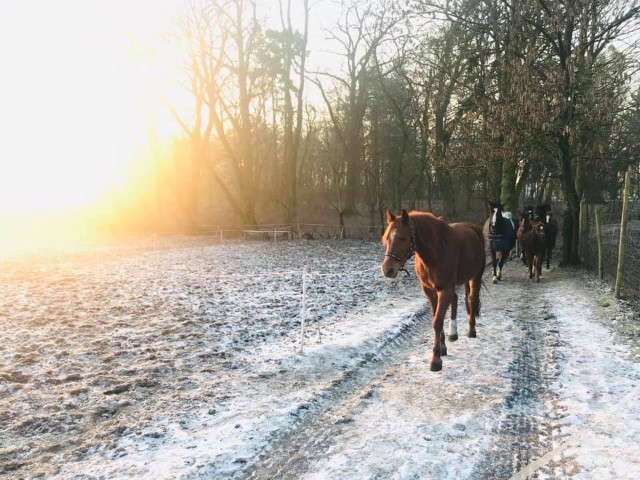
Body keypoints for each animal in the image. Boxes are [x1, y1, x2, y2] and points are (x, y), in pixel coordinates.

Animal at [380, 209, 485, 372]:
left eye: (403, 238)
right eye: (387, 239)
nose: (388, 270)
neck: (436, 253)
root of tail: (473, 227)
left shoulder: (445, 289)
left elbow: (437, 322)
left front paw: (436, 360)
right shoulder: (430, 290)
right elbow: (437, 318)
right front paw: (443, 349)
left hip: (476, 276)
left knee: (472, 301)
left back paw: (471, 331)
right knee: (456, 299)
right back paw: (453, 334)